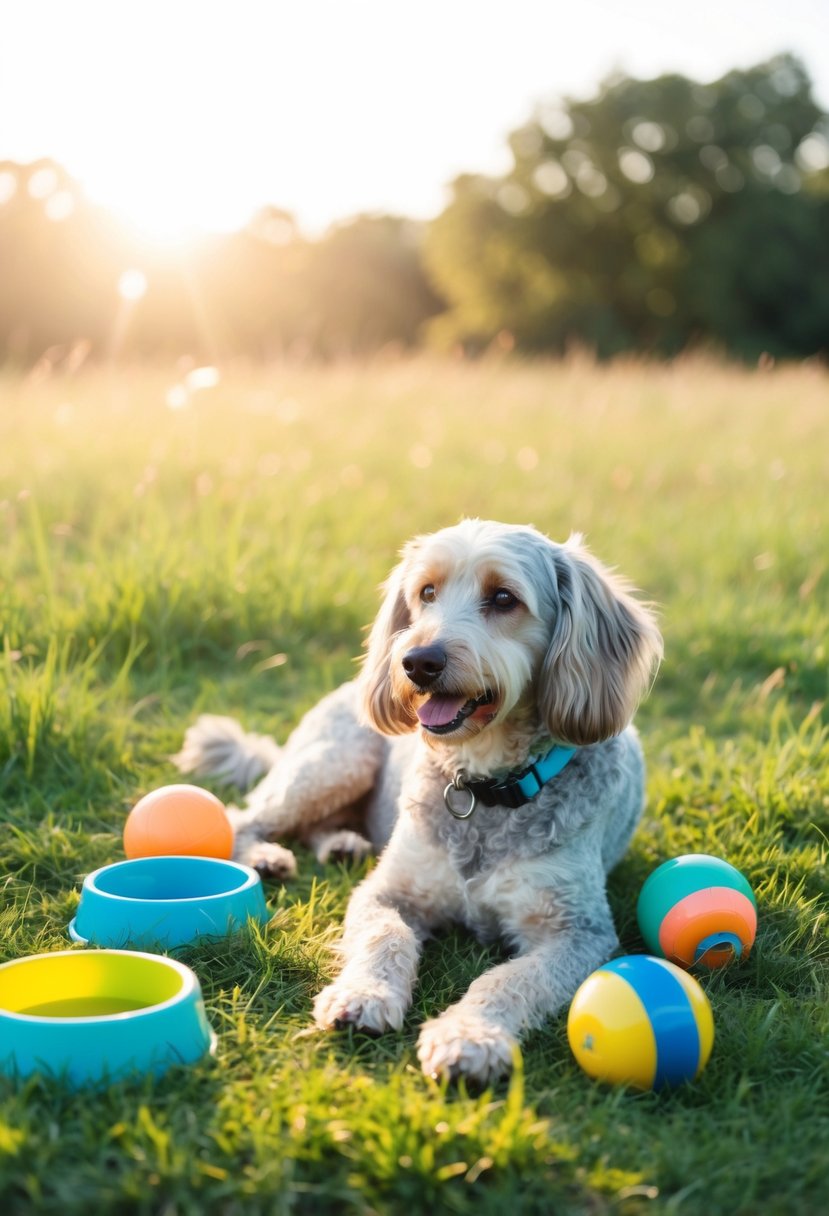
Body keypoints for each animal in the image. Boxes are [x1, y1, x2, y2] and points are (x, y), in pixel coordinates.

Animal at [173, 520, 656, 1084]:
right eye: (426, 592)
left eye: (504, 598)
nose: (416, 662)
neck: (483, 785)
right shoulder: (387, 892)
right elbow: (387, 937)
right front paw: (364, 994)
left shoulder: (577, 931)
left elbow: (512, 978)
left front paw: (469, 1034)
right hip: (338, 761)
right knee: (244, 817)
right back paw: (265, 855)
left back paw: (340, 843)